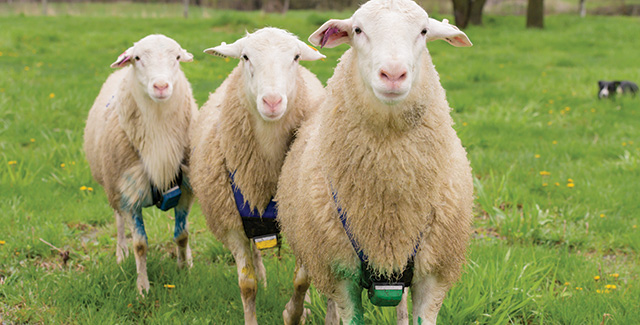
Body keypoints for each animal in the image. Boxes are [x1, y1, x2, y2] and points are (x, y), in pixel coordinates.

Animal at [83, 34, 198, 294]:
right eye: (137, 58)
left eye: (177, 57)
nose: (161, 86)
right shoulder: (128, 194)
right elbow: (140, 245)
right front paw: (143, 287)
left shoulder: (185, 189)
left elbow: (182, 235)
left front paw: (184, 269)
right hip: (113, 187)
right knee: (118, 223)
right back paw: (121, 253)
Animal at [188, 26, 324, 322]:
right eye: (245, 57)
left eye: (296, 57)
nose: (272, 101)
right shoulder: (231, 223)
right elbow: (247, 285)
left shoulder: (299, 215)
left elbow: (302, 279)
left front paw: (294, 314)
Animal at [276, 1, 476, 322]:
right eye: (358, 30)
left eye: (424, 31)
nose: (393, 74)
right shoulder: (340, 274)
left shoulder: (434, 274)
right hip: (311, 242)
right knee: (302, 281)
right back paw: (292, 313)